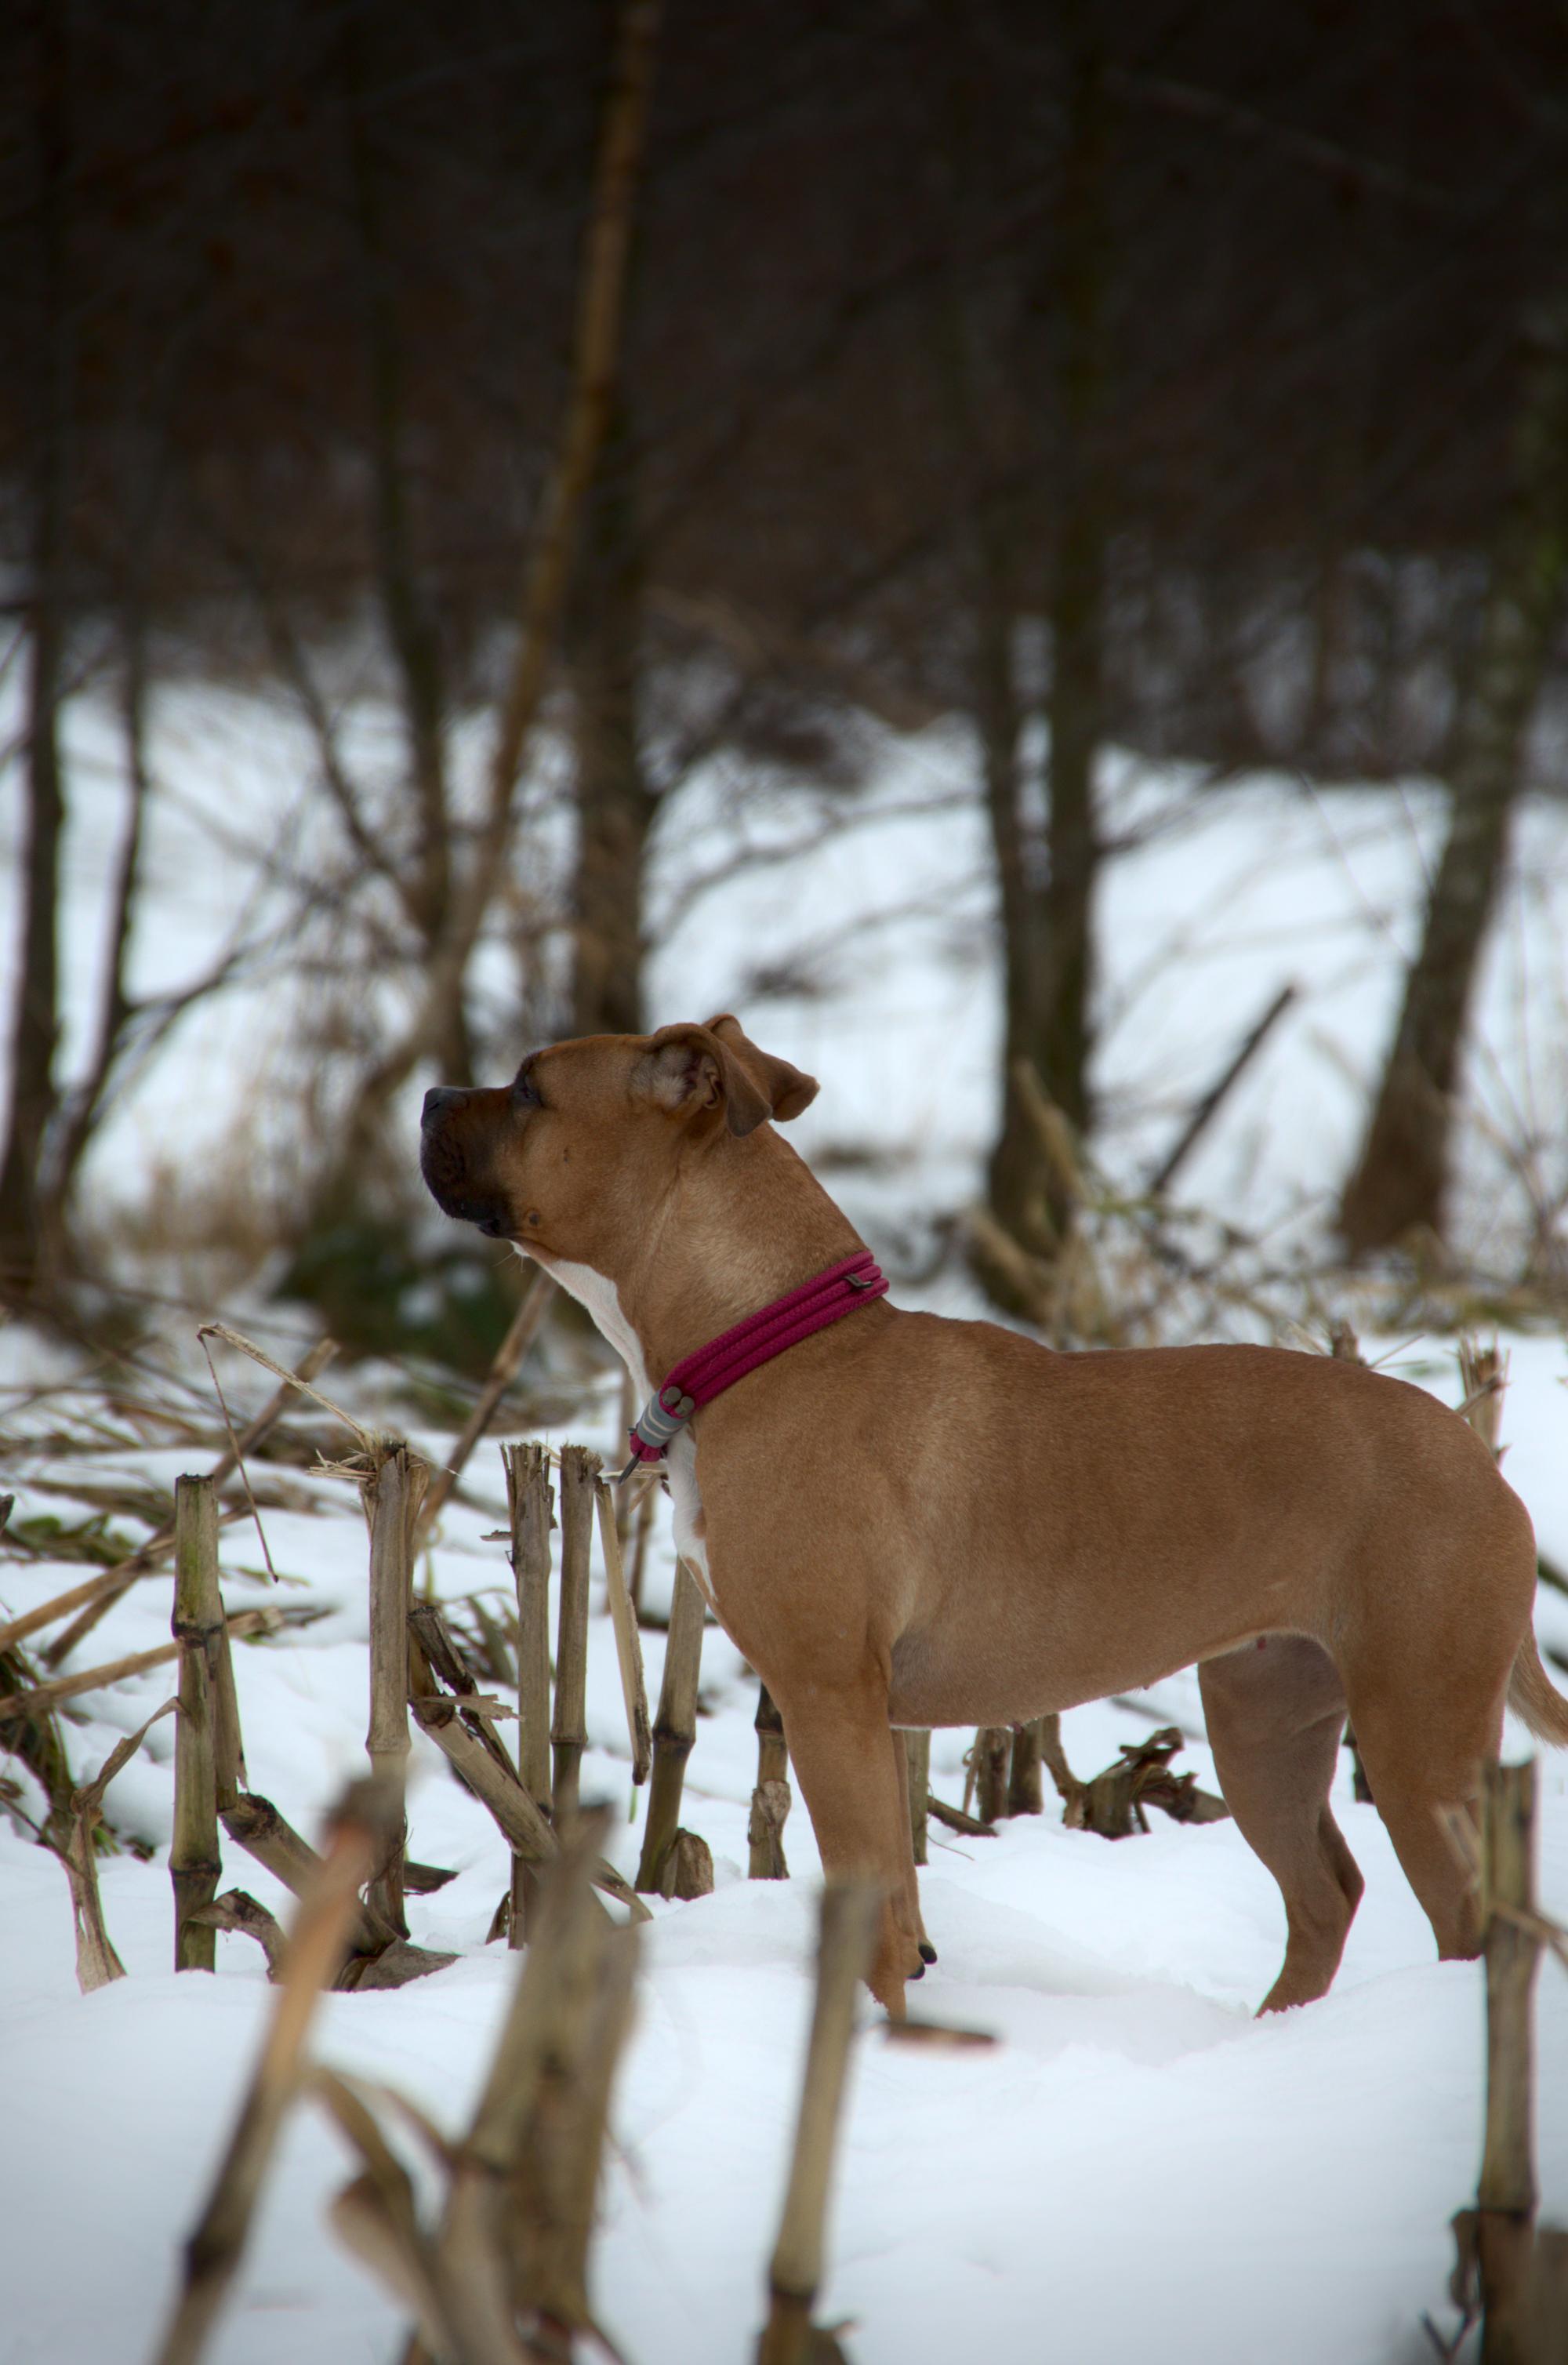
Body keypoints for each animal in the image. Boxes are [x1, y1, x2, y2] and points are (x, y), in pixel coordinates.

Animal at [420, 1012, 1568, 2014]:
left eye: (528, 1088)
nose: (428, 1096)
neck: (767, 1339)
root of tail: (1477, 1456)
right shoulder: (868, 1719)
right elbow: (898, 1907)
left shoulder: (826, 1698)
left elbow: (872, 1916)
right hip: (1266, 1722)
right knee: (1323, 1896)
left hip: (1418, 1742)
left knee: (1477, 1918)